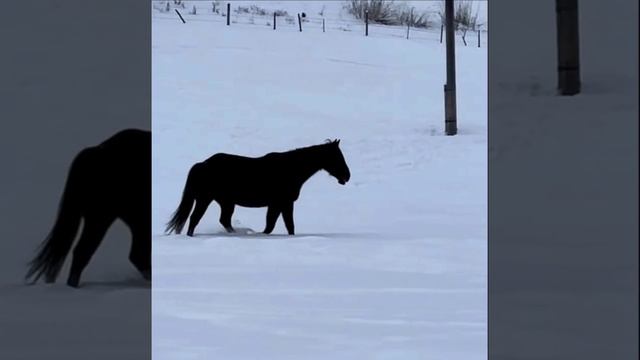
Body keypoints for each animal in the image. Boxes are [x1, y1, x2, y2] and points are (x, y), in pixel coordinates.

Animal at [166, 139, 350, 238]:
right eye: (337, 157)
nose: (347, 176)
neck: (290, 169)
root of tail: (203, 164)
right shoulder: (282, 203)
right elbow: (279, 226)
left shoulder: (280, 205)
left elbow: (279, 226)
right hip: (205, 199)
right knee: (194, 219)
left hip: (226, 203)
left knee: (224, 220)